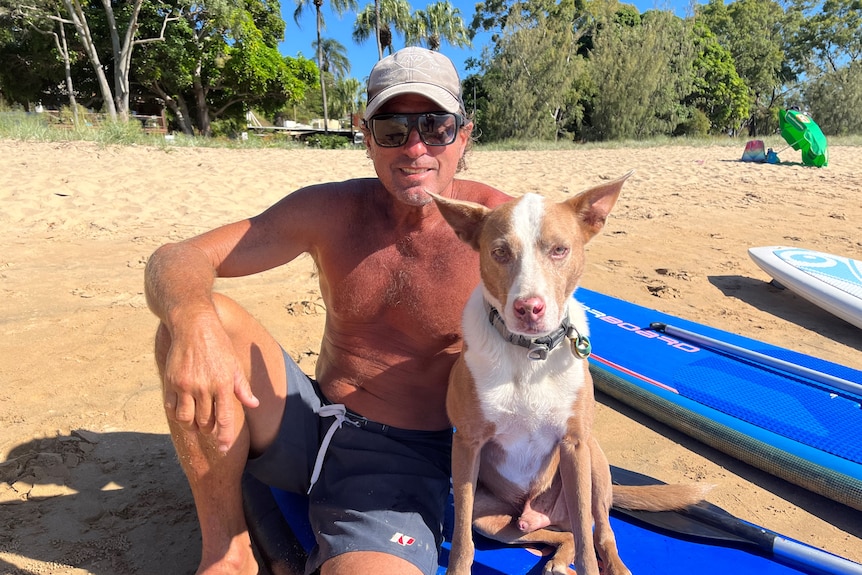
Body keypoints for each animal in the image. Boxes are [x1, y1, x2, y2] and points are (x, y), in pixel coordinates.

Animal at [432, 173, 708, 575]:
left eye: (560, 250)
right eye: (500, 252)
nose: (529, 308)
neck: (530, 352)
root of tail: (537, 510)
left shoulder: (574, 445)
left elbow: (587, 544)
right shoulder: (467, 447)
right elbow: (461, 540)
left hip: (593, 463)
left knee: (598, 531)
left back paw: (610, 566)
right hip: (494, 518)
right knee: (557, 535)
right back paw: (556, 560)